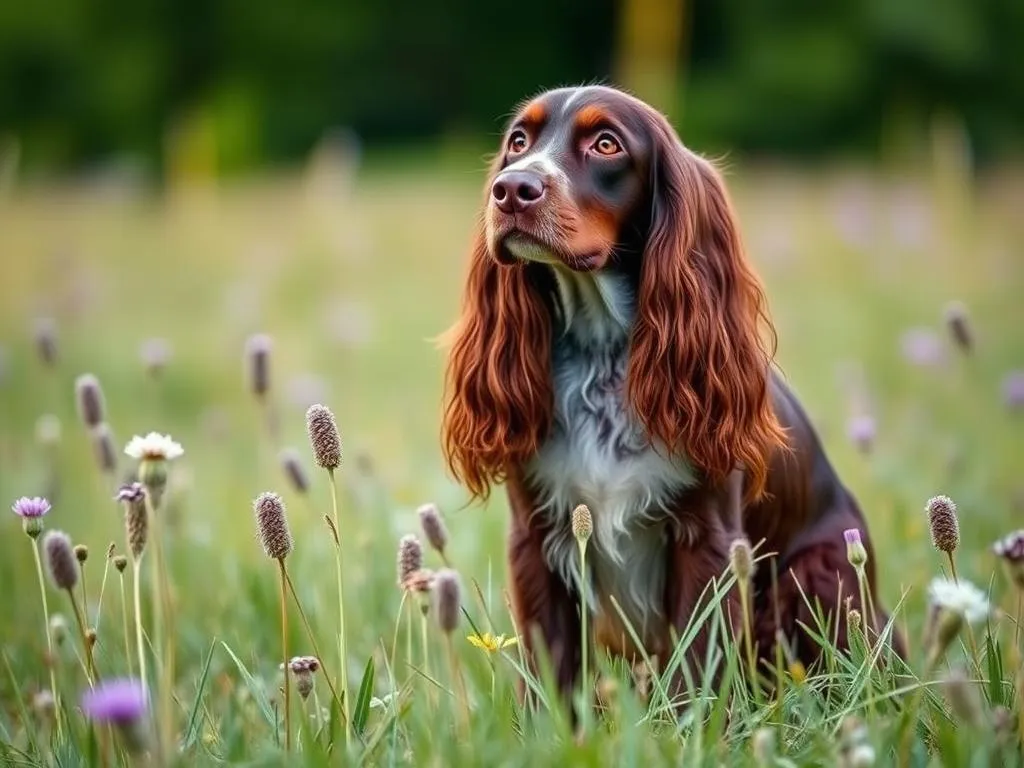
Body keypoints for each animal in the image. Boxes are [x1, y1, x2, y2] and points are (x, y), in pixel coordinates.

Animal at [440, 85, 897, 708]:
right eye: (518, 141)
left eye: (606, 144)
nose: (511, 189)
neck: (604, 360)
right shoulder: (535, 537)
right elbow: (549, 672)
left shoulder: (709, 542)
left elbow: (696, 669)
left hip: (819, 573)